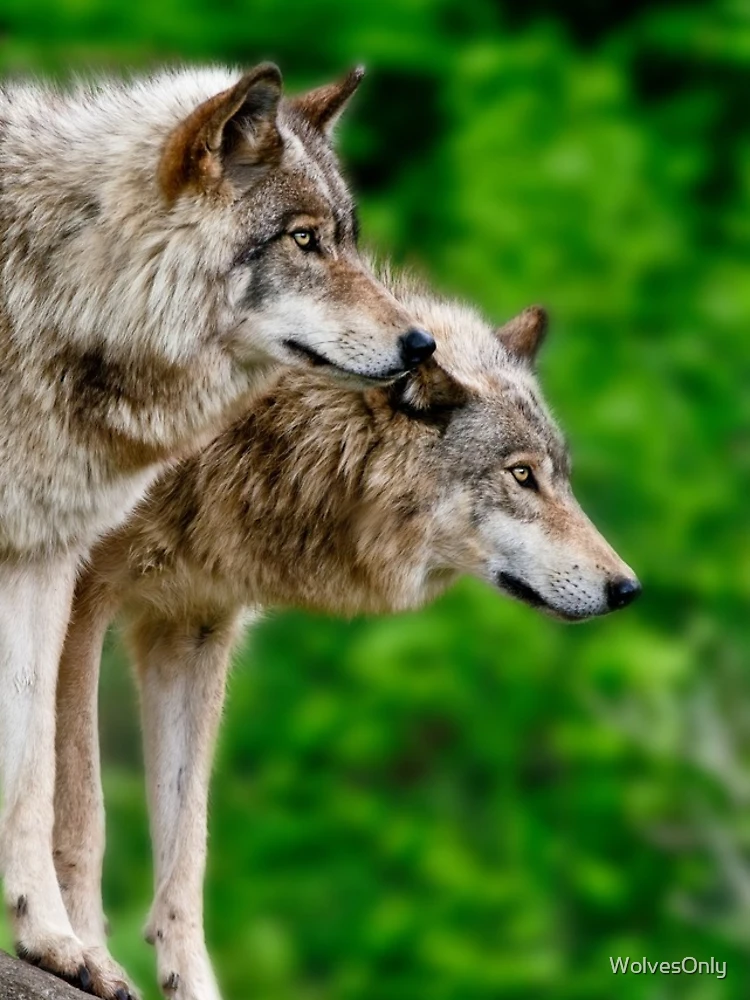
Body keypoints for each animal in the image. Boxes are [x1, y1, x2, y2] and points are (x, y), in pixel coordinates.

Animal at [0, 65, 434, 994]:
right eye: (304, 240)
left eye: (346, 239)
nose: (421, 345)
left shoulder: (42, 557)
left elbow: (32, 768)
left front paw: (48, 939)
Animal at [53, 275, 641, 1000]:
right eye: (521, 475)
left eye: (560, 475)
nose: (627, 588)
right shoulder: (80, 595)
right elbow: (82, 807)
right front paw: (84, 952)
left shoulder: (192, 628)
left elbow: (187, 850)